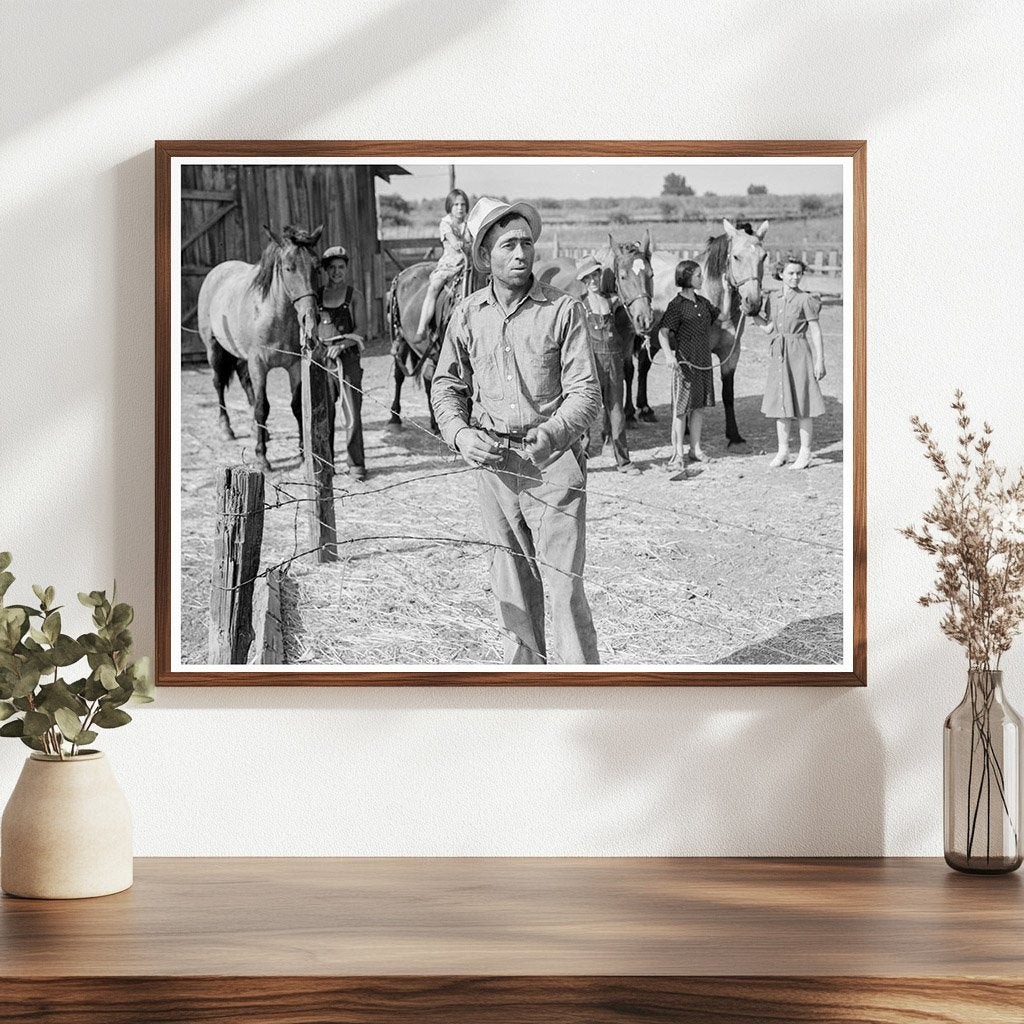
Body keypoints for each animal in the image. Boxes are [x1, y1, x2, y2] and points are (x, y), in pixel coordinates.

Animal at [198, 224, 323, 471]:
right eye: (288, 268)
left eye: (317, 267)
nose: (310, 319)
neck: (273, 315)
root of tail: (217, 271)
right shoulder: (259, 365)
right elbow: (262, 407)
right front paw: (262, 457)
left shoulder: (294, 365)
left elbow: (295, 406)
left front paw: (302, 454)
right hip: (214, 350)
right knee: (219, 384)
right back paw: (226, 429)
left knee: (247, 386)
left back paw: (259, 432)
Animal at [638, 218, 770, 446]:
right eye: (736, 256)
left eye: (764, 257)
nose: (752, 304)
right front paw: (687, 428)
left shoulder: (731, 353)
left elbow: (728, 394)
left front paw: (734, 435)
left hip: (654, 340)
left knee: (644, 366)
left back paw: (646, 410)